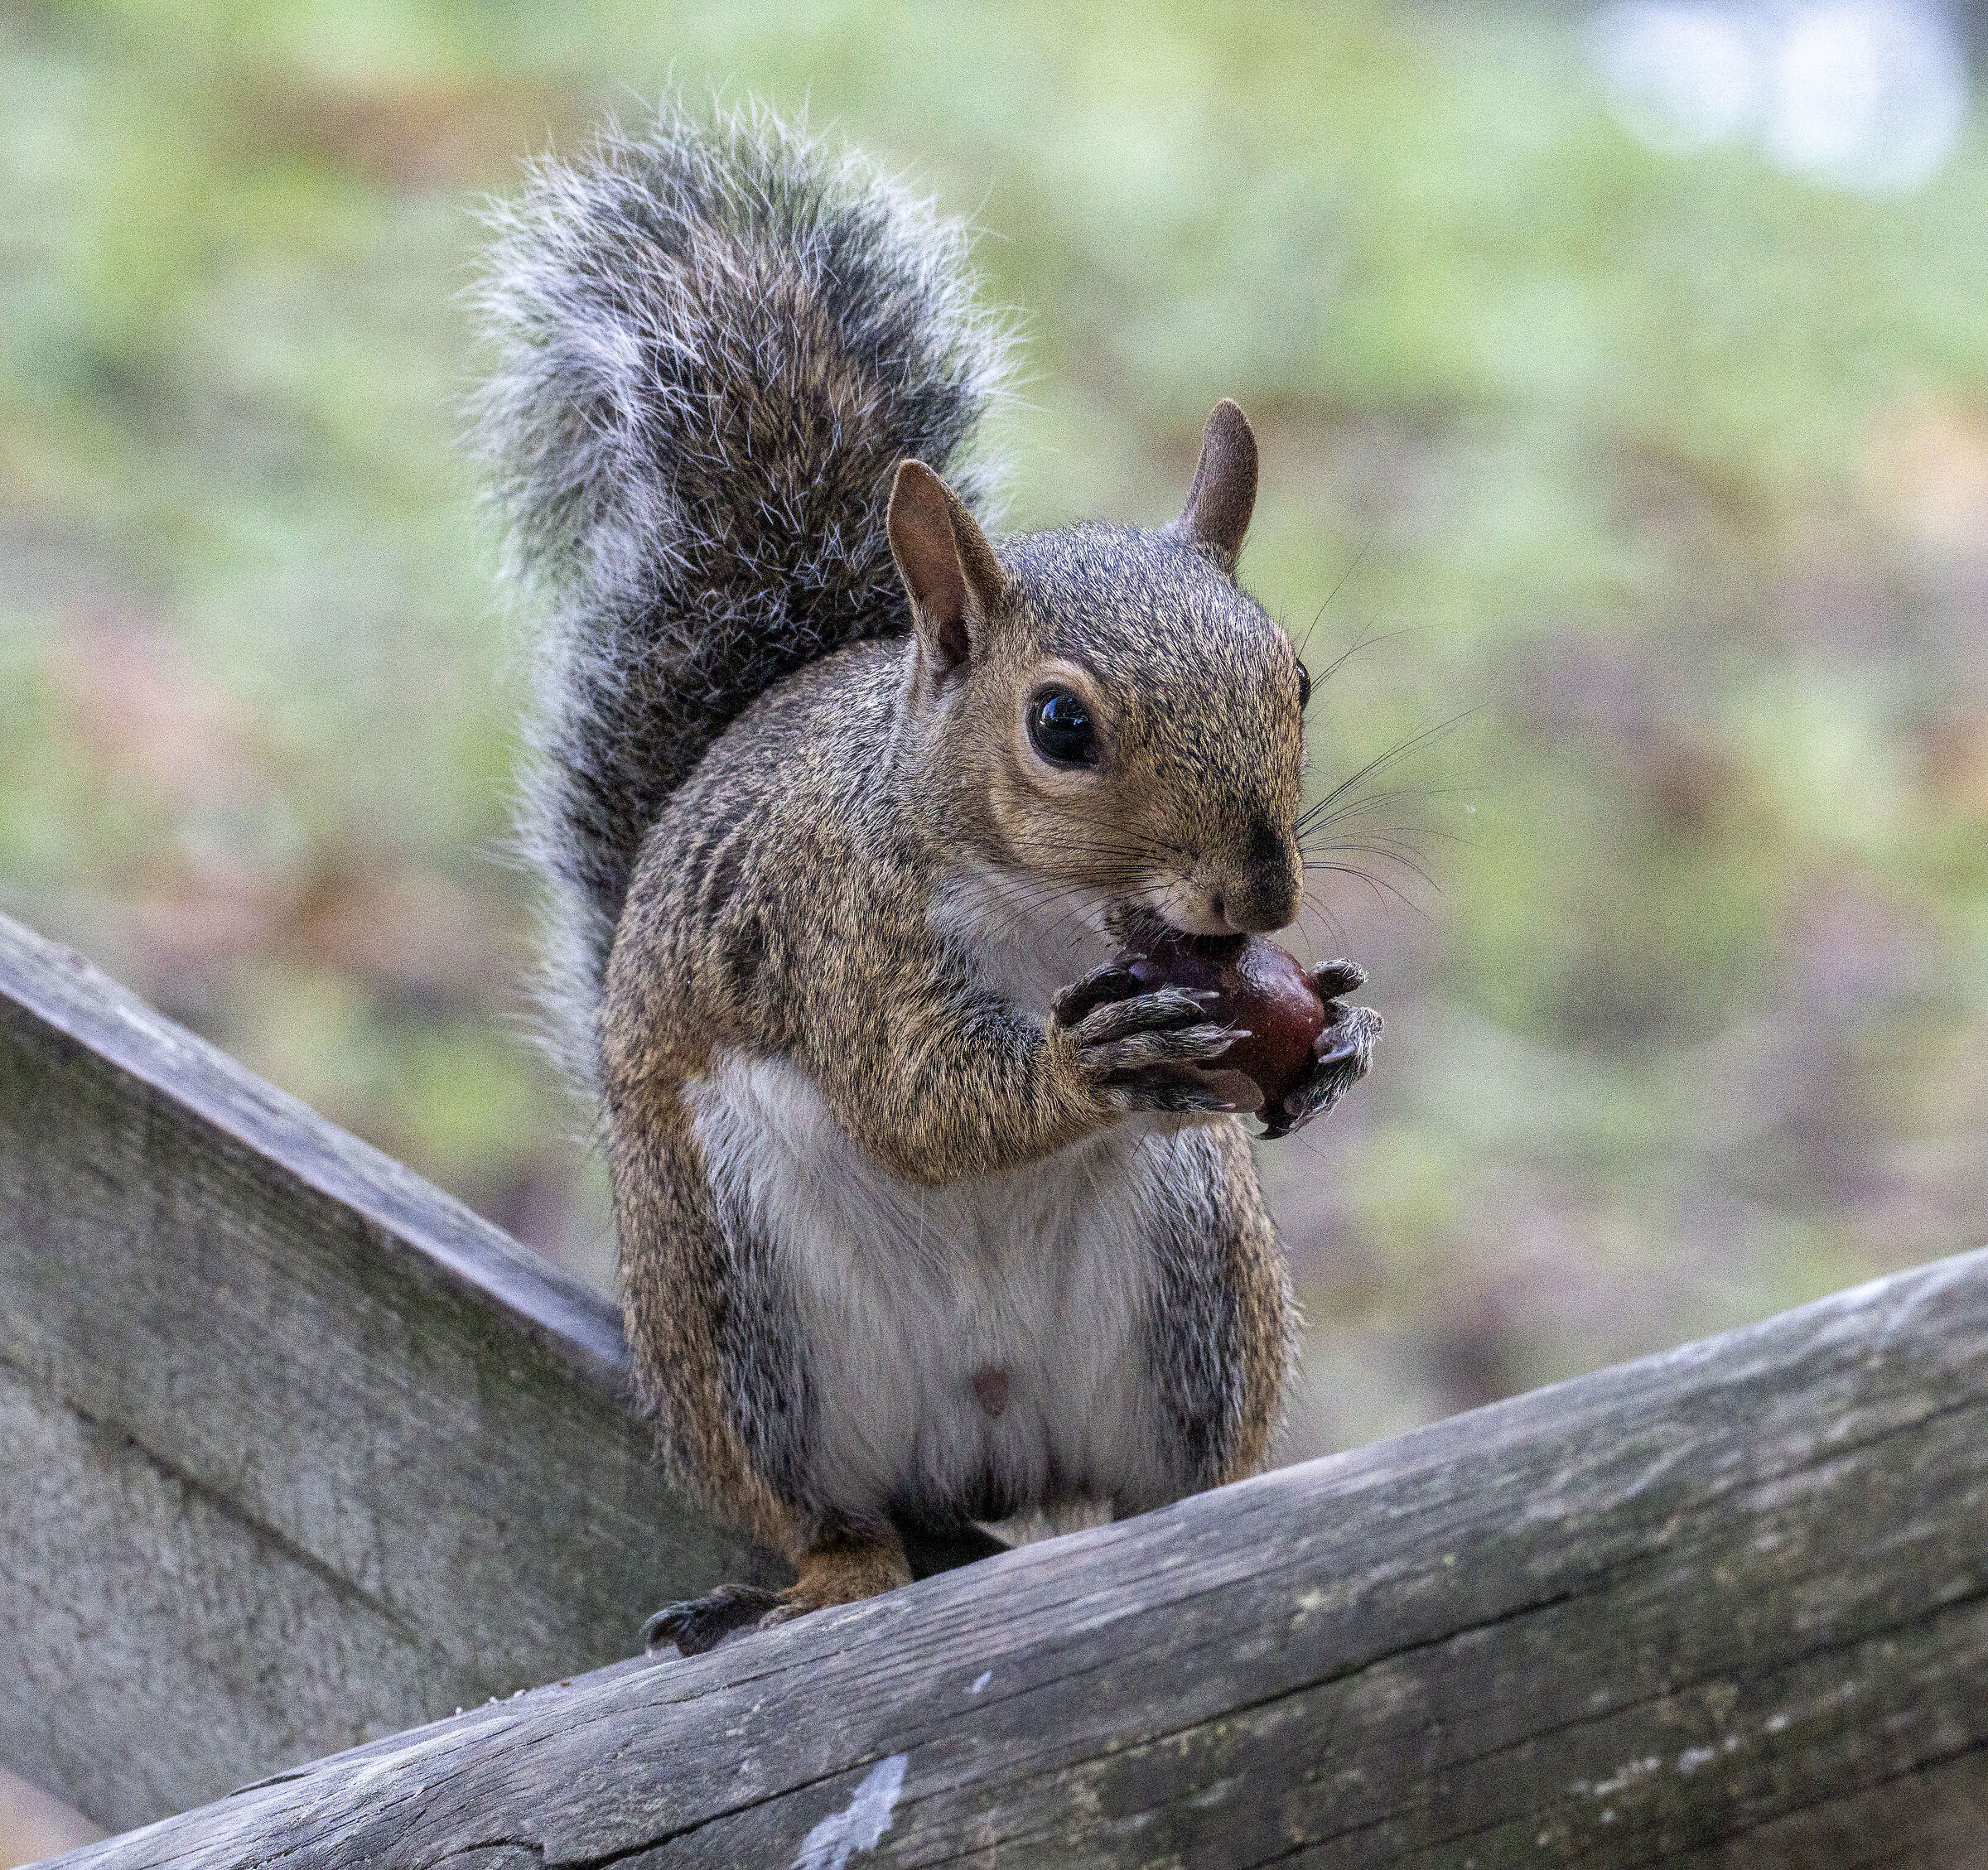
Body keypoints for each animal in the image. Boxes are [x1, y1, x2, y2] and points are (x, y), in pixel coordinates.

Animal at [473, 103, 1381, 1655]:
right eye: (1060, 725)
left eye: (1296, 677)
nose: (1259, 903)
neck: (1054, 922)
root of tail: (990, 1448)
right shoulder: (838, 934)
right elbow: (914, 1099)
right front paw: (1078, 1070)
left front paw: (1338, 1035)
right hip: (739, 1307)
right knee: (835, 1517)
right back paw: (823, 1574)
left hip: (1197, 1269)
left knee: (1163, 1487)